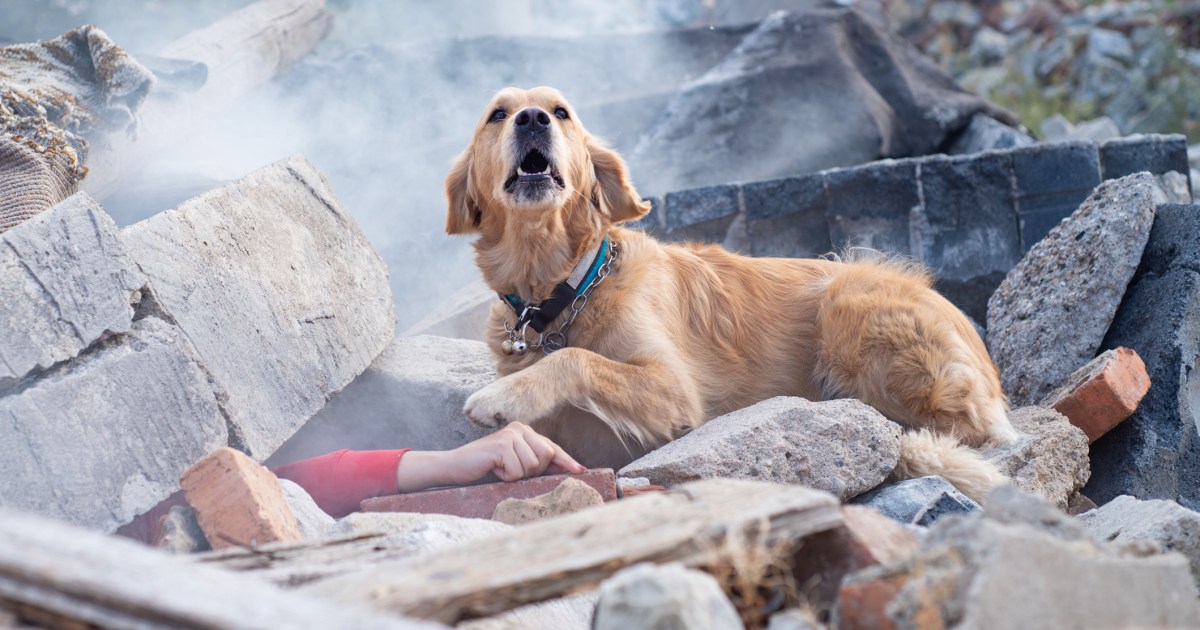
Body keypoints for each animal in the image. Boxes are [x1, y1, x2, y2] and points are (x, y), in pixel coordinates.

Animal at [446, 85, 1017, 499]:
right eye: (498, 114)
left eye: (560, 111)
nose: (532, 119)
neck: (561, 291)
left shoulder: (676, 391)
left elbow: (577, 360)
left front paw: (501, 398)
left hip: (850, 300)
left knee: (960, 431)